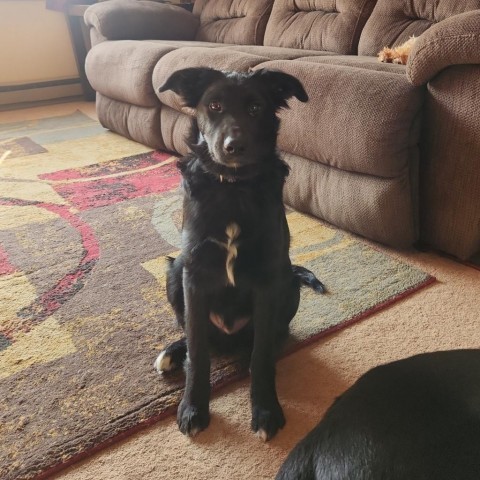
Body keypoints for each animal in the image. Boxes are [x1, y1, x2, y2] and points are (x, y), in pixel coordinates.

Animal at [155, 66, 326, 438]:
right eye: (214, 105)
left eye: (255, 108)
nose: (234, 147)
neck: (232, 188)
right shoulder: (194, 273)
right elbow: (198, 353)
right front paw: (192, 408)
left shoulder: (268, 278)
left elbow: (260, 358)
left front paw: (265, 410)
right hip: (176, 271)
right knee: (195, 336)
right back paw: (172, 353)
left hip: (288, 283)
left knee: (268, 339)